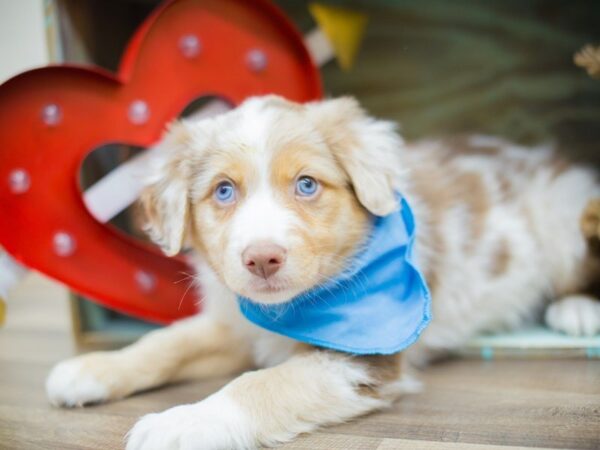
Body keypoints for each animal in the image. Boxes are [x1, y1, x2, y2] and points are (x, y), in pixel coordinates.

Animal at [45, 95, 600, 446]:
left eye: (307, 185)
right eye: (223, 191)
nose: (262, 258)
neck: (288, 310)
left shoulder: (360, 361)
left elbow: (262, 384)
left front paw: (180, 423)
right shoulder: (235, 322)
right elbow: (167, 342)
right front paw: (91, 369)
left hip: (562, 215)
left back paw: (577, 310)